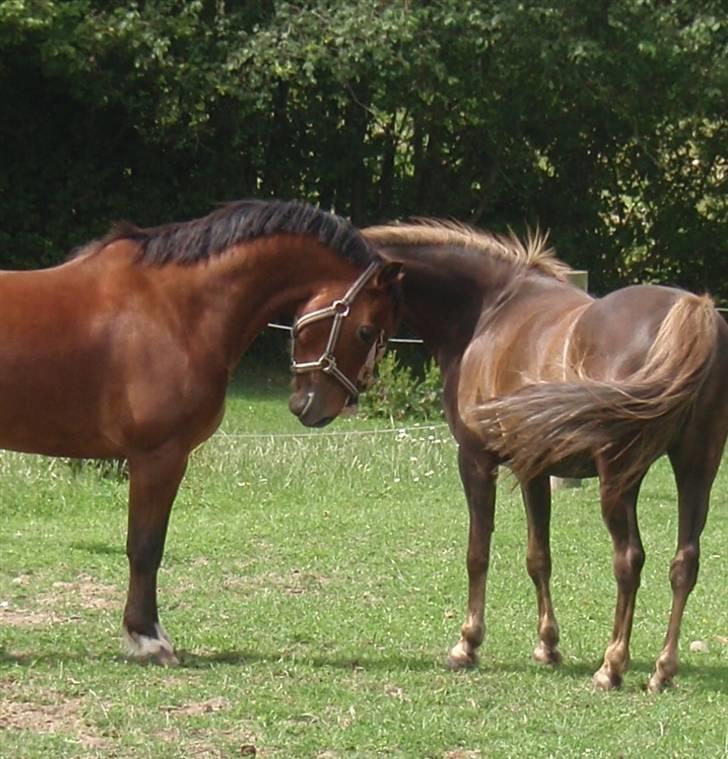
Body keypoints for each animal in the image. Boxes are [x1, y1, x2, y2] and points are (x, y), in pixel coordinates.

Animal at [0, 200, 400, 664]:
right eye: (366, 331)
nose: (321, 407)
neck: (172, 308)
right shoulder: (159, 457)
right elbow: (145, 547)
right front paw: (147, 638)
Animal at [364, 221, 728, 696]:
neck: (489, 310)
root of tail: (693, 311)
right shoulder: (533, 469)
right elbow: (539, 557)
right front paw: (547, 646)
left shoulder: (476, 460)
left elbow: (477, 552)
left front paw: (467, 644)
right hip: (696, 470)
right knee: (685, 563)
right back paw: (662, 670)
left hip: (619, 479)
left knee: (629, 560)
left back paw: (612, 667)